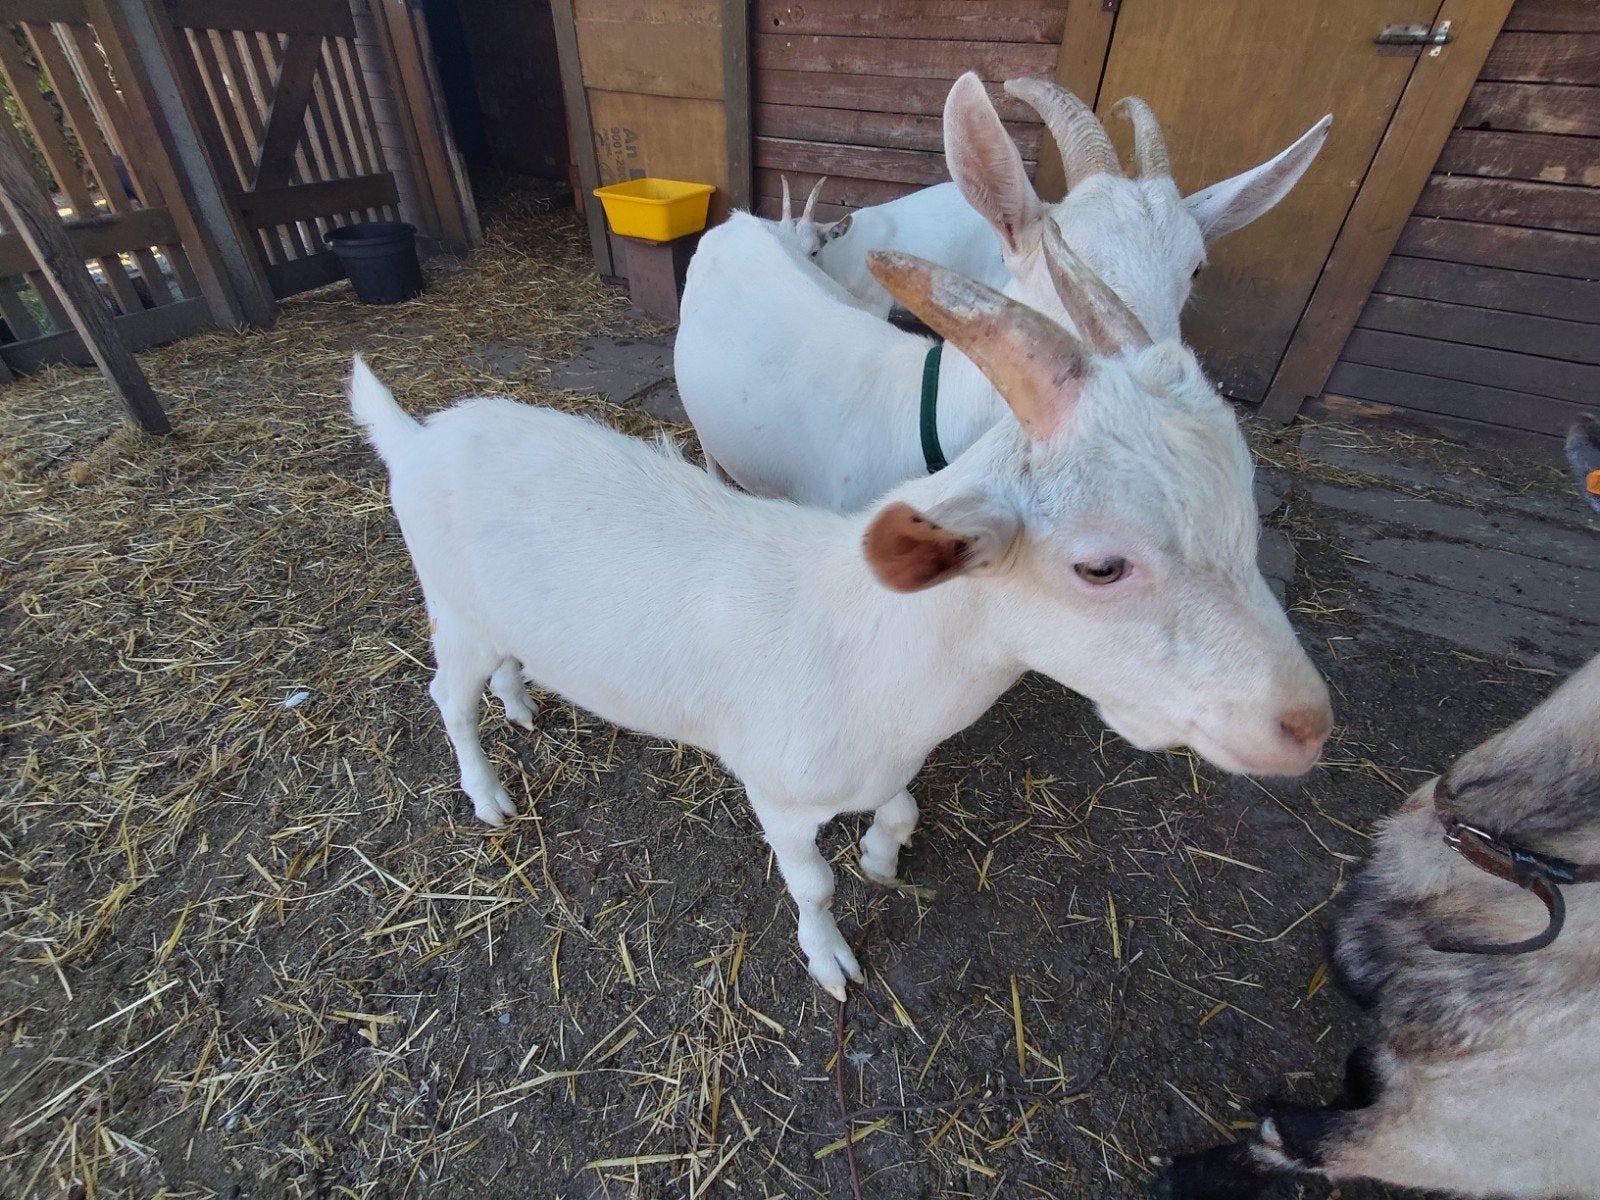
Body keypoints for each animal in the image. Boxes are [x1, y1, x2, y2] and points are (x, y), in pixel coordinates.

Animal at [352, 250, 1331, 1002]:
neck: (866, 645)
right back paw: (487, 792)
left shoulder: (887, 760)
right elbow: (813, 883)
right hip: (453, 611)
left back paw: (522, 701)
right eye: (1100, 565)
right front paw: (830, 959)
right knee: (447, 698)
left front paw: (885, 856)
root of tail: (420, 438)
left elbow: (900, 809)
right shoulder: (776, 792)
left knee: (500, 669)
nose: (1305, 725)